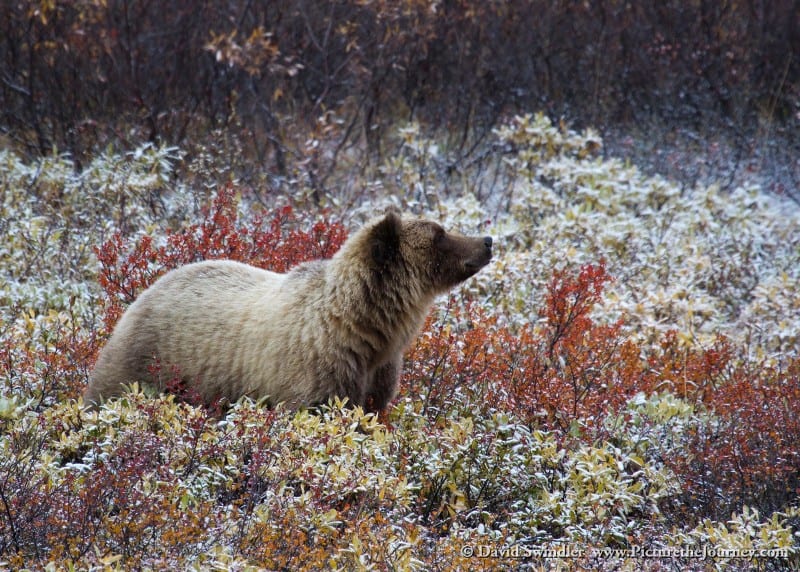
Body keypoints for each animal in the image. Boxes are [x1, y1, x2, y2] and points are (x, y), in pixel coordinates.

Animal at [84, 210, 490, 412]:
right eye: (439, 234)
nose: (486, 241)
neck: (365, 330)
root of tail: (142, 293)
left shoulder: (376, 376)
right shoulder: (314, 372)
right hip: (147, 363)